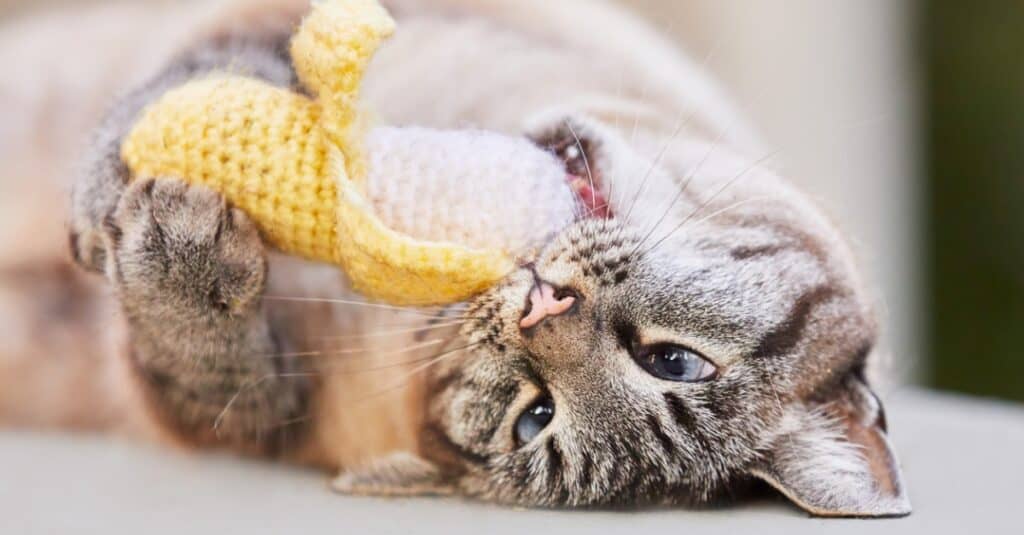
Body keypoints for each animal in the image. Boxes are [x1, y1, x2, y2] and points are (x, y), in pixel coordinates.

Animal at [4, 0, 909, 516]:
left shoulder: (248, 421)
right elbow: (218, 67)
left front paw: (182, 252)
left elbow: (205, 358)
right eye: (676, 361)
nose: (544, 308)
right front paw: (126, 163)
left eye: (535, 415)